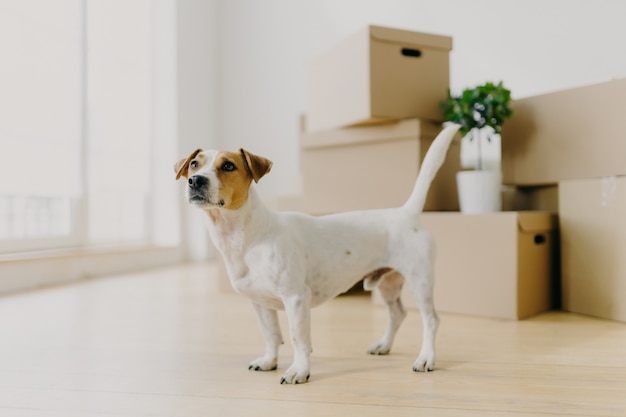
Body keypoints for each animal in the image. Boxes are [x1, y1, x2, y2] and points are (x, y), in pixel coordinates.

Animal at [174, 122, 458, 384]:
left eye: (228, 166)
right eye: (194, 164)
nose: (195, 180)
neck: (250, 237)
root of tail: (406, 212)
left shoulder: (296, 297)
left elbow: (297, 337)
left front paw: (299, 370)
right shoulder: (260, 303)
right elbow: (271, 334)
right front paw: (269, 361)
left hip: (420, 281)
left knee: (431, 320)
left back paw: (426, 358)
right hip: (388, 283)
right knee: (397, 314)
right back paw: (383, 345)